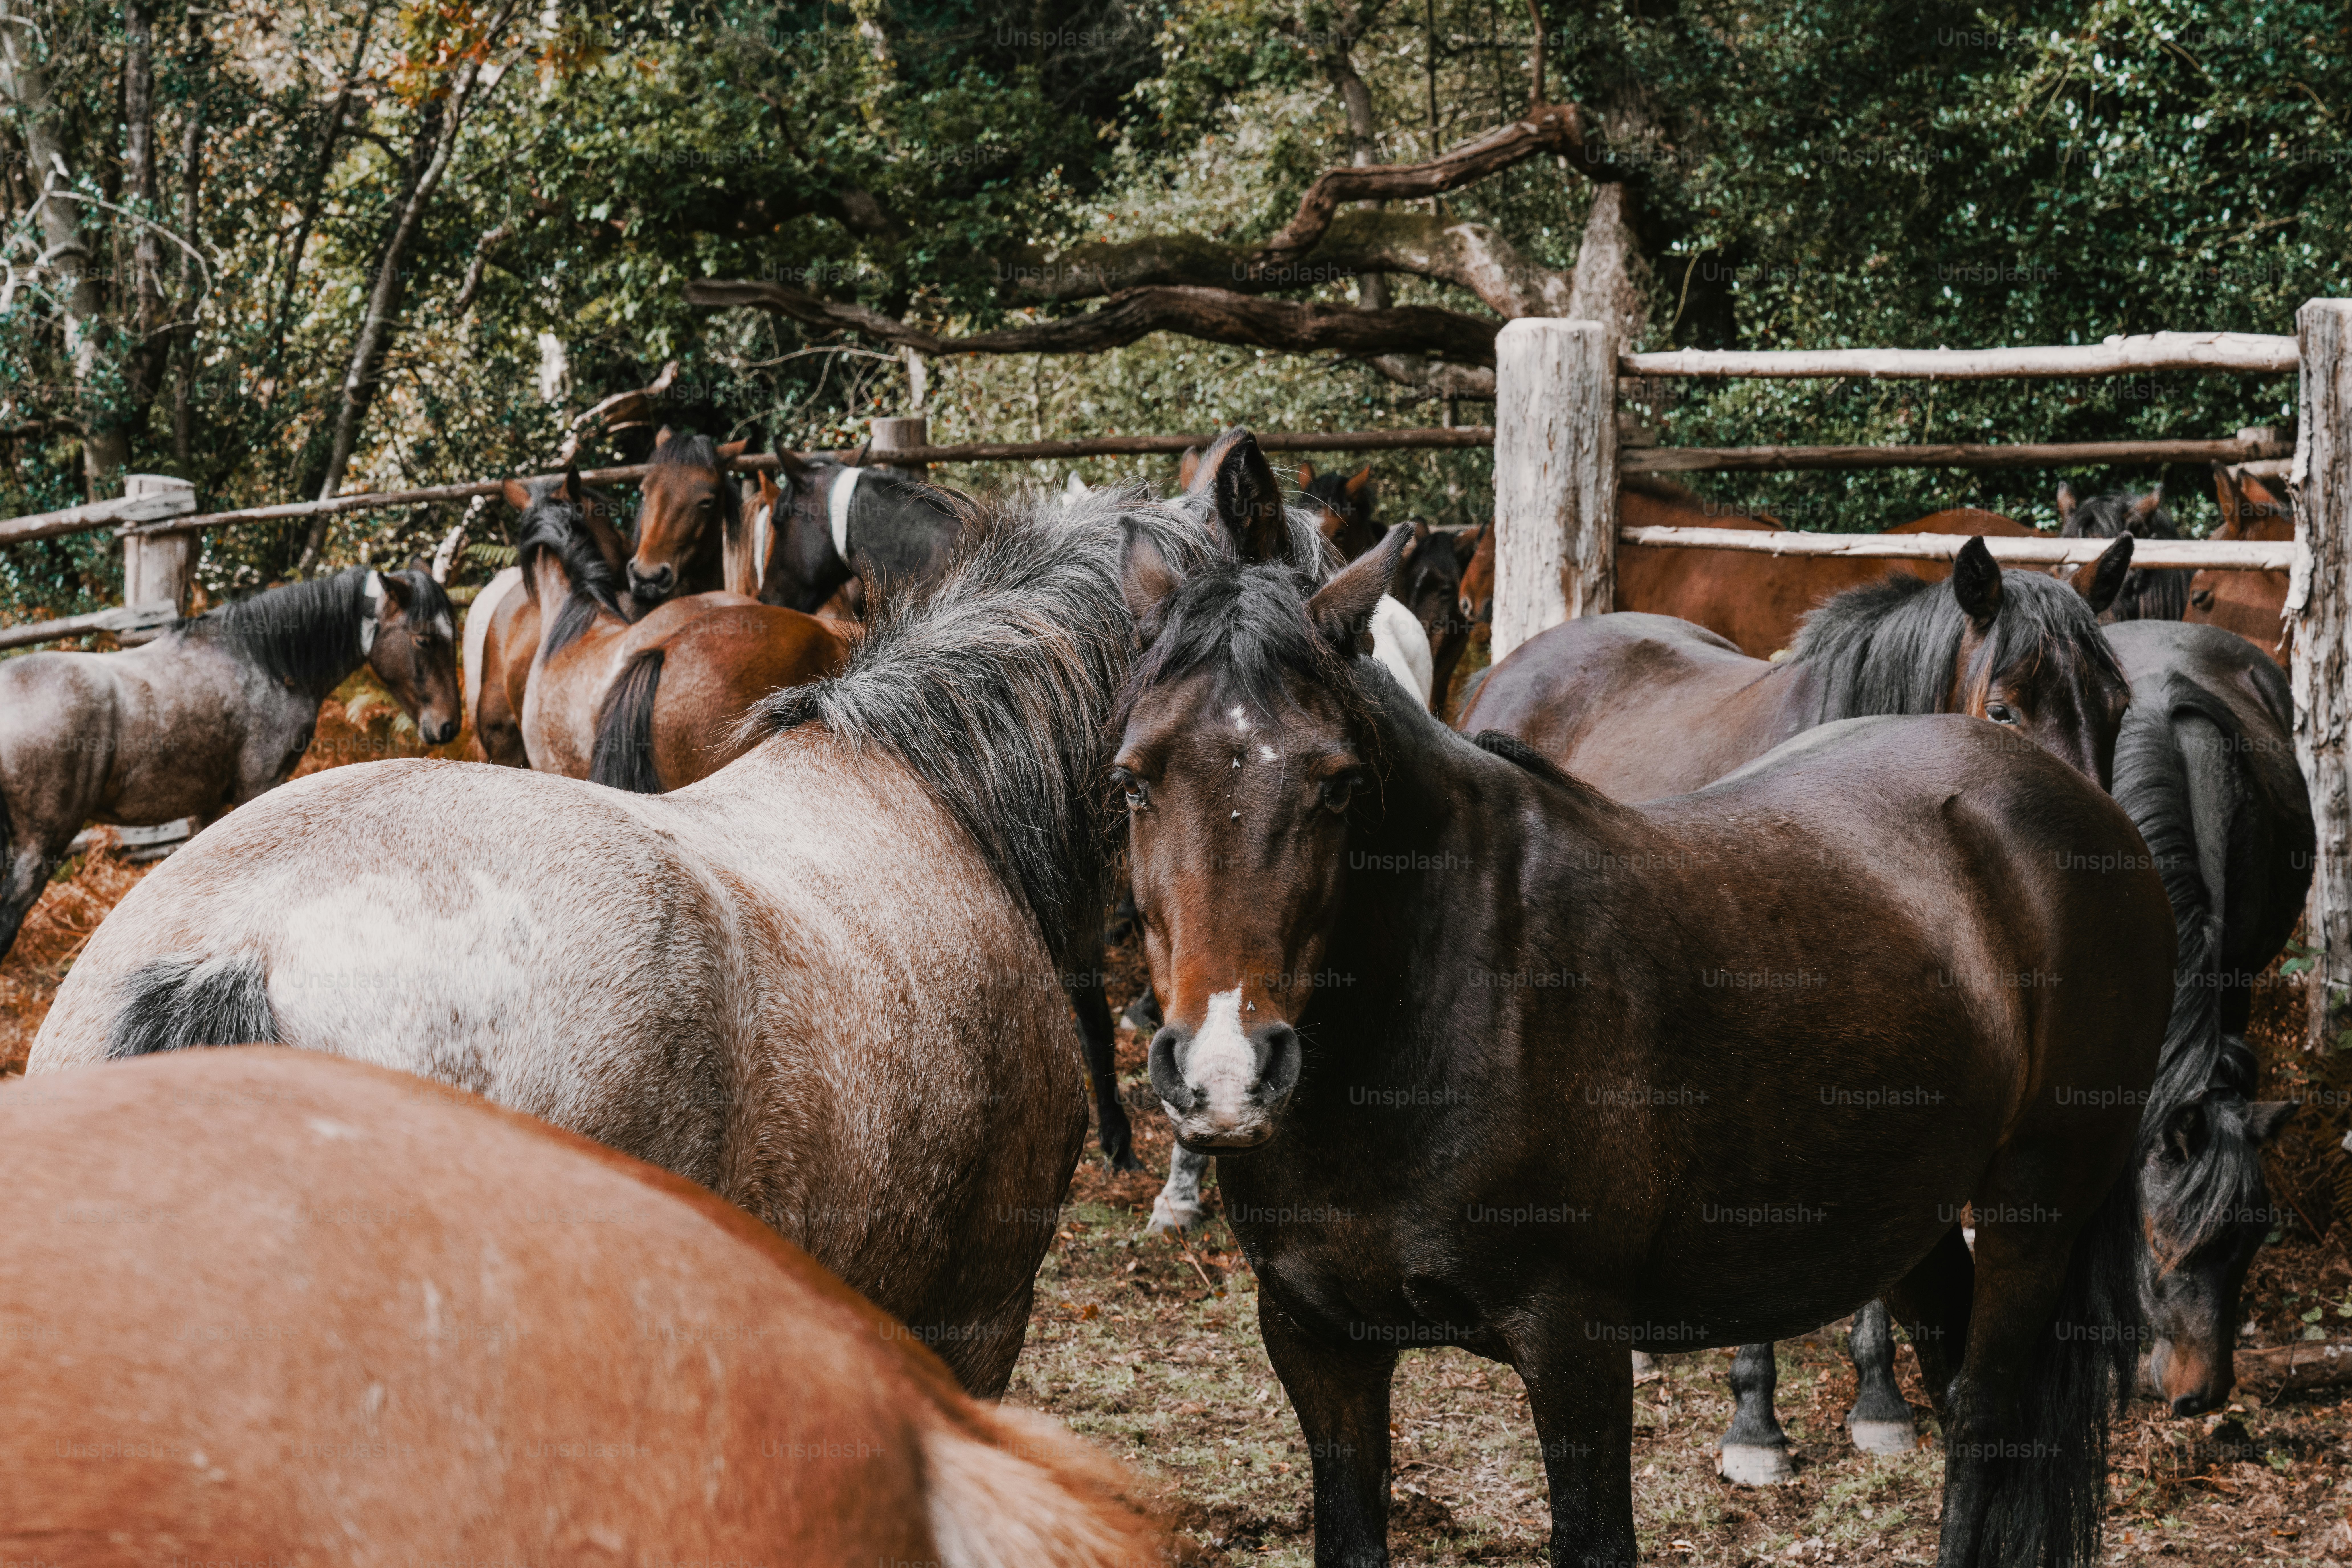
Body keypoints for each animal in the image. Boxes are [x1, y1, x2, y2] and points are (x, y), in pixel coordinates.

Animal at [0, 566, 460, 965]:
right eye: (424, 640)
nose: (449, 725)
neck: (266, 663)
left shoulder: (210, 805)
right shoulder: (259, 786)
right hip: (39, 847)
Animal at [1111, 520, 2171, 1568]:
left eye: (1338, 785)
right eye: (1130, 779)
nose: (1224, 1073)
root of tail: (2085, 816)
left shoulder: (1573, 1343)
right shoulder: (1317, 1342)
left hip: (2034, 1212)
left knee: (1988, 1422)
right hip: (1910, 1215)